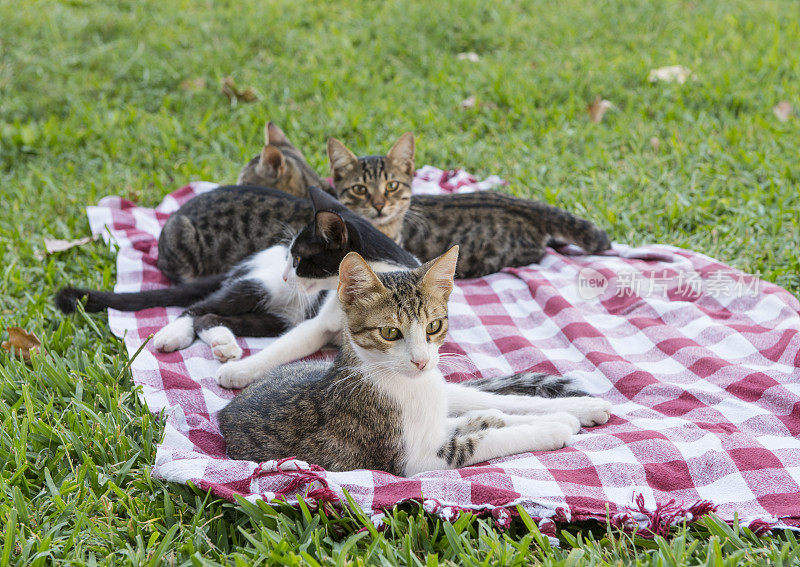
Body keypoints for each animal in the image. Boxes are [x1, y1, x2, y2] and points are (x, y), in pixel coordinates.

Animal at [219, 246, 612, 478]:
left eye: (434, 326)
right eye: (390, 332)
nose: (421, 361)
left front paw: (559, 418)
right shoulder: (416, 458)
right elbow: (480, 443)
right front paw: (550, 430)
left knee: (486, 401)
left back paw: (579, 408)